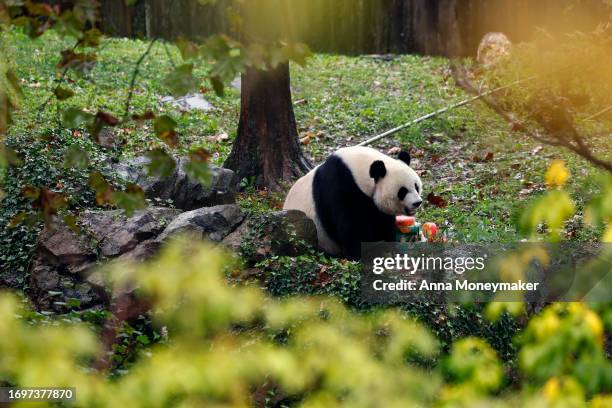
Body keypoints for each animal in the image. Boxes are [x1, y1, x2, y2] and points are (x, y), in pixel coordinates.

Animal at [284, 147, 424, 258]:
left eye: (416, 186)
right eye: (402, 191)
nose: (417, 202)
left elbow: (383, 221)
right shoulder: (339, 187)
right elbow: (348, 226)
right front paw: (357, 255)